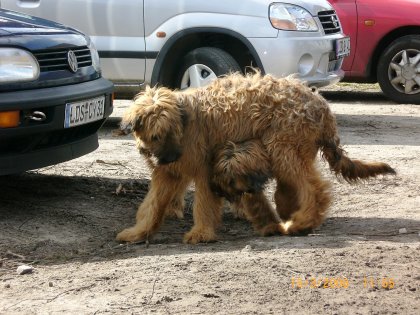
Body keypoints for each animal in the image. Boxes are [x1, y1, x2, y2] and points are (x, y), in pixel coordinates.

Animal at [116, 71, 396, 244]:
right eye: (155, 135)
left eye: (167, 132)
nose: (169, 157)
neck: (186, 122)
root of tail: (323, 107)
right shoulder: (168, 174)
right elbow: (151, 205)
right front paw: (138, 232)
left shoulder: (204, 168)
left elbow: (203, 204)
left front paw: (201, 233)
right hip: (289, 150)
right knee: (292, 188)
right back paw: (287, 214)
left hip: (284, 147)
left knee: (314, 189)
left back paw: (301, 223)